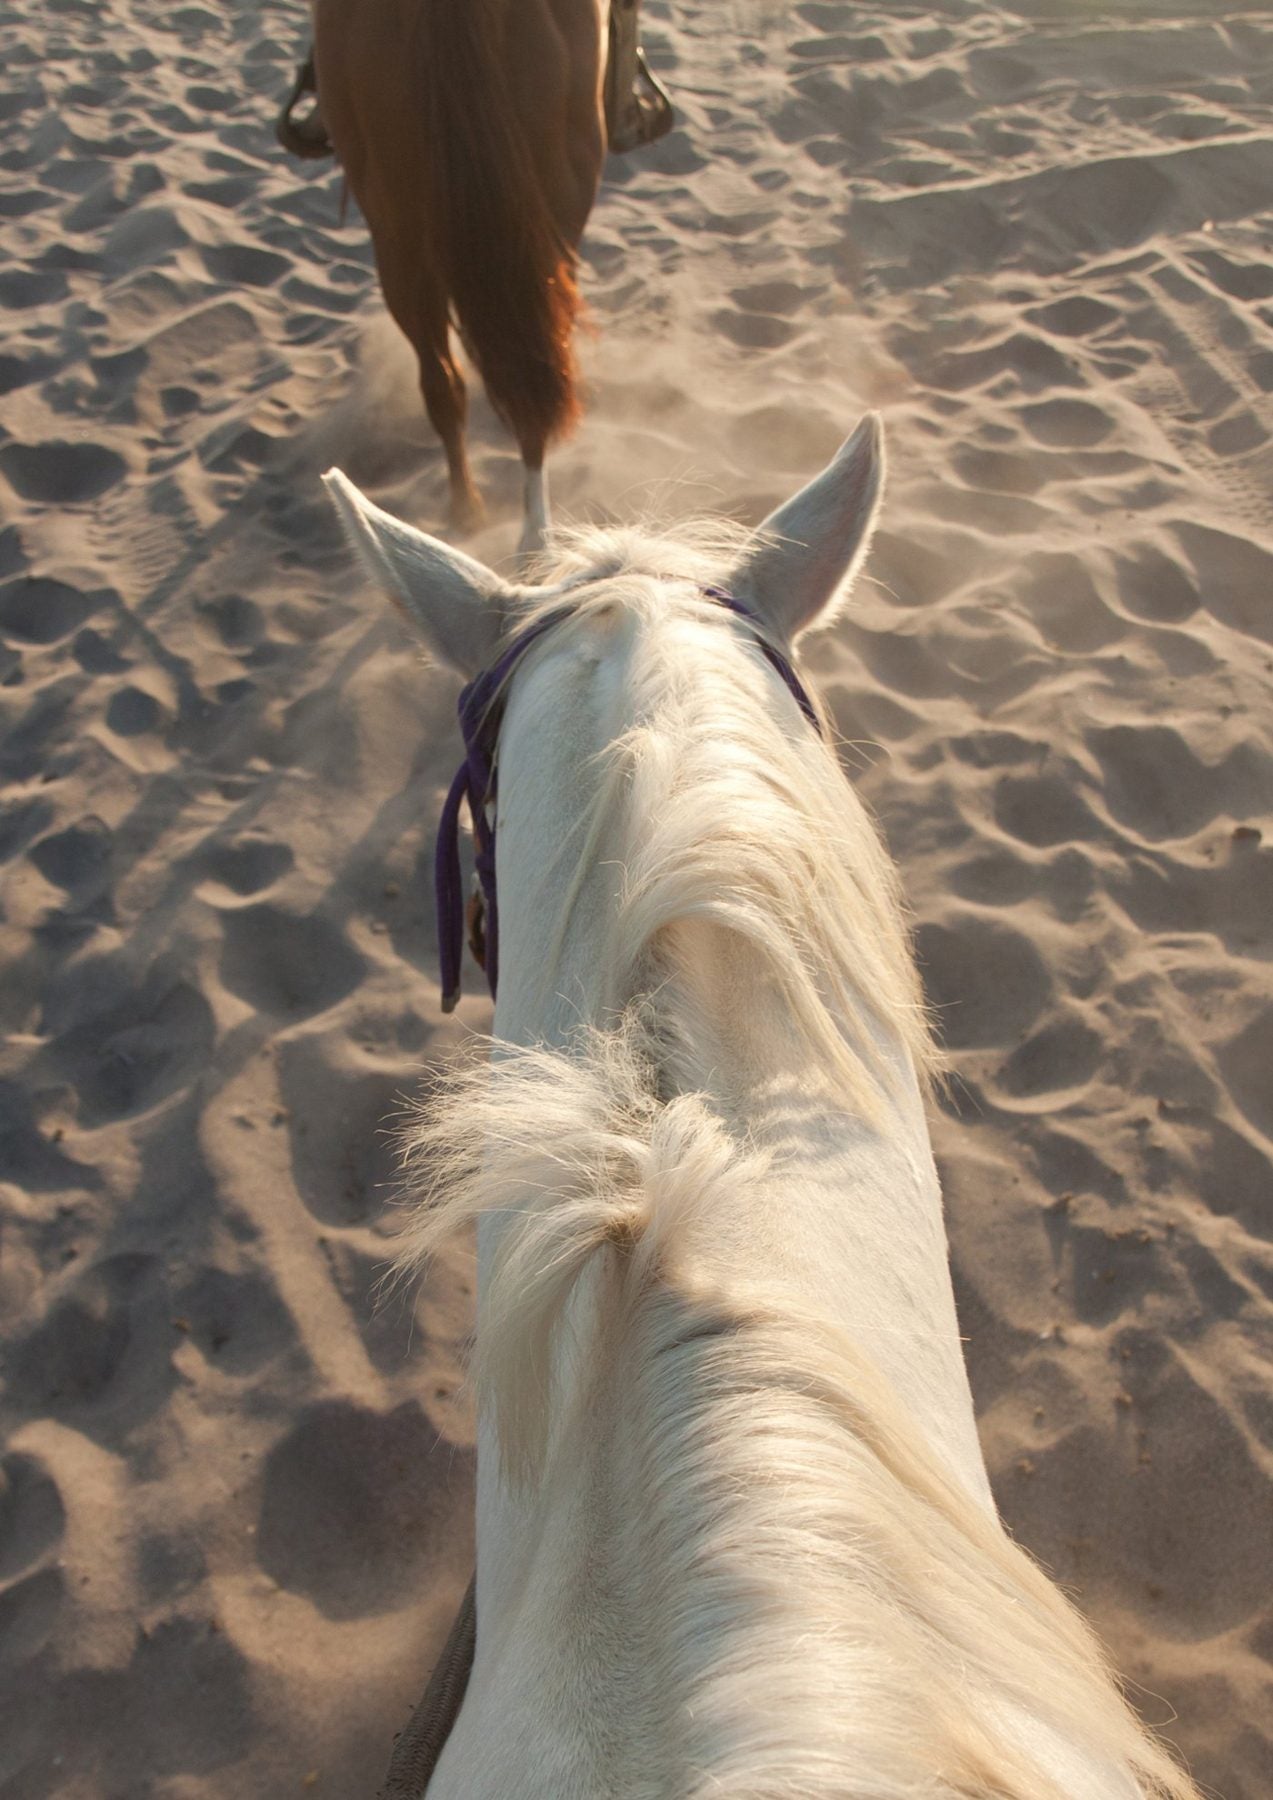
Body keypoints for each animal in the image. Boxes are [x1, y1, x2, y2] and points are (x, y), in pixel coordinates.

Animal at [312, 0, 607, 554]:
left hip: (397, 219)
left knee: (455, 376)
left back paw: (472, 514)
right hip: (564, 180)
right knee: (537, 360)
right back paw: (532, 533)